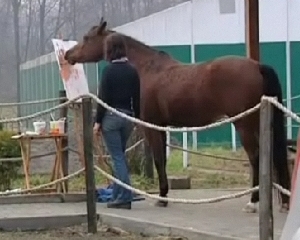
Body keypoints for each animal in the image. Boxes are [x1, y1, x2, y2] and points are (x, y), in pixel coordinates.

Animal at [63, 19, 290, 213]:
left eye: (87, 38)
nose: (67, 55)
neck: (146, 69)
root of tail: (257, 66)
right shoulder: (162, 126)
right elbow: (162, 160)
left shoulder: (151, 126)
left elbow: (158, 160)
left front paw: (162, 198)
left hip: (244, 124)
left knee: (256, 158)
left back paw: (253, 202)